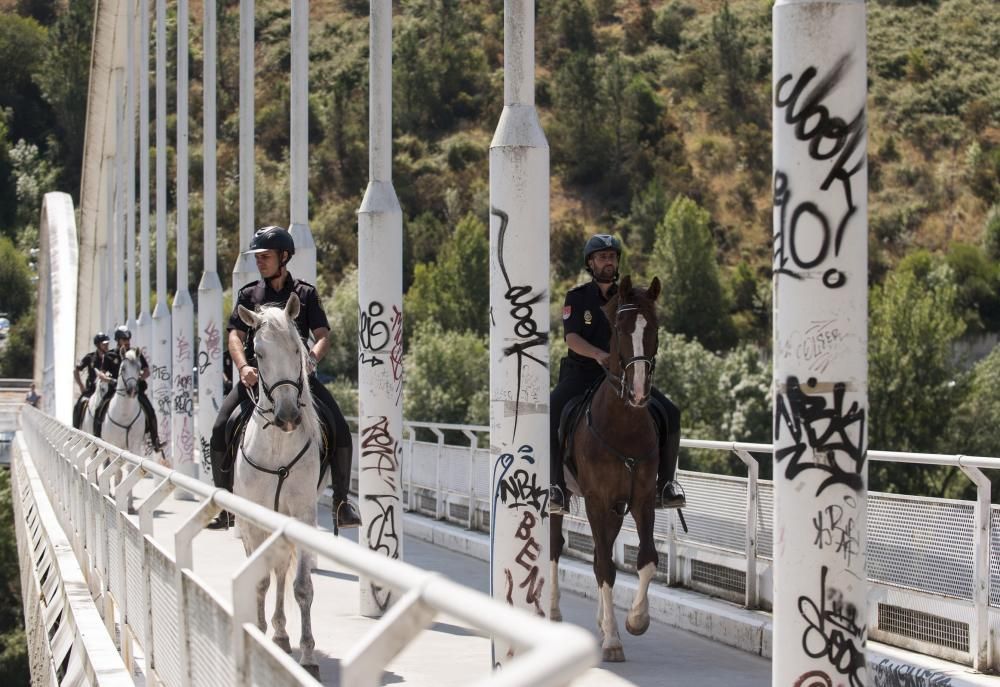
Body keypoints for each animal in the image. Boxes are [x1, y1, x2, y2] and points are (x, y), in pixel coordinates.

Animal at [552, 276, 660, 664]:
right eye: (619, 327)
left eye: (654, 326)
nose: (640, 391)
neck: (623, 421)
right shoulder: (596, 499)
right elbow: (603, 566)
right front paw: (613, 640)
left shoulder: (642, 499)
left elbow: (646, 560)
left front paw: (635, 620)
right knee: (556, 547)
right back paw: (553, 609)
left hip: (615, 508)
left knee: (604, 550)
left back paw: (601, 620)